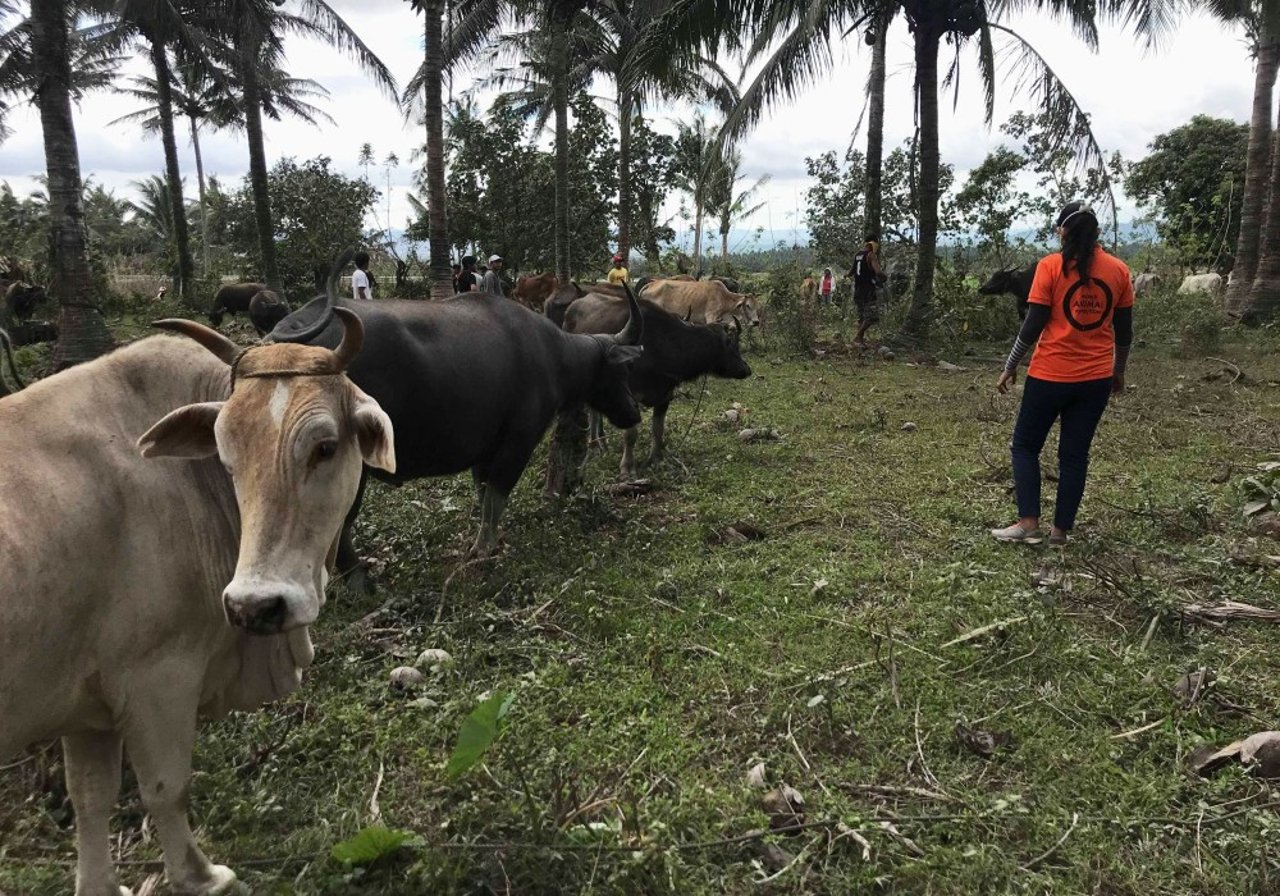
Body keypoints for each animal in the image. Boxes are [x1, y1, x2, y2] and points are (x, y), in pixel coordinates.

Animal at [0, 309, 391, 896]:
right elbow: (167, 788)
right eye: (226, 456)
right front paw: (200, 876)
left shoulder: (85, 707)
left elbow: (91, 797)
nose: (256, 606)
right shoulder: (157, 677)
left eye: (325, 447)